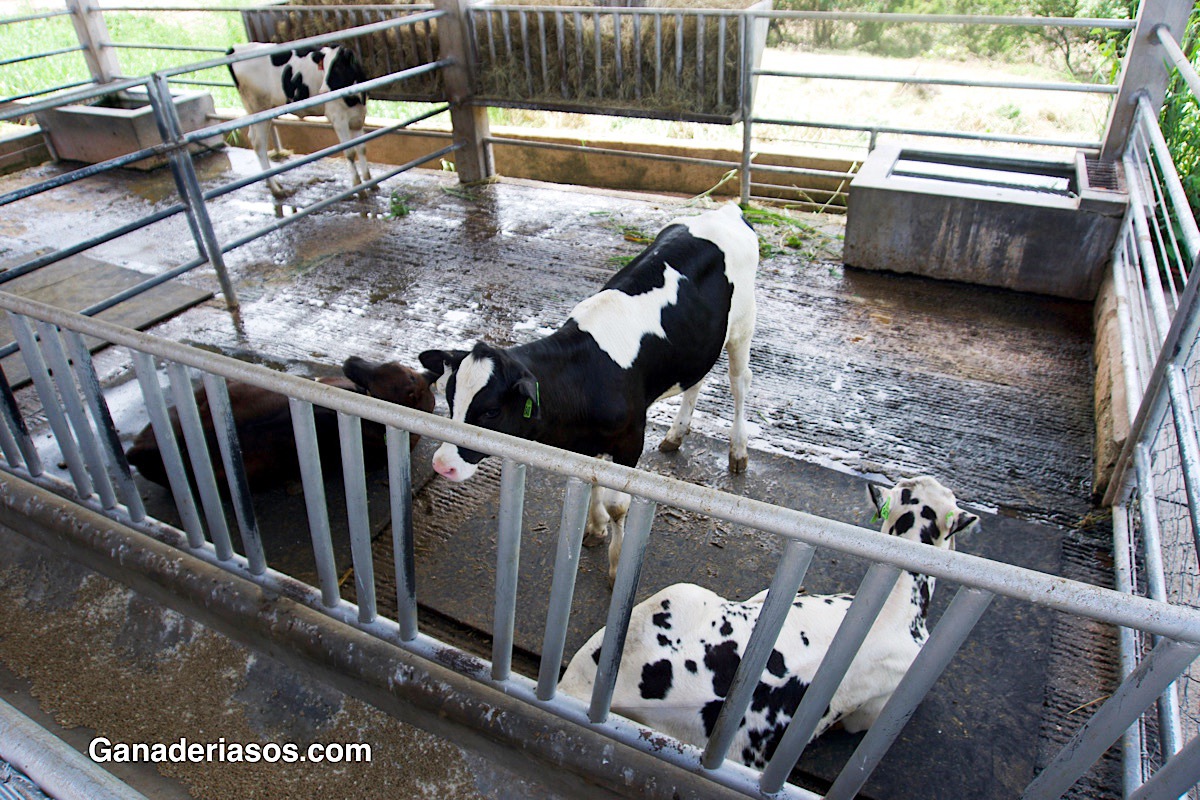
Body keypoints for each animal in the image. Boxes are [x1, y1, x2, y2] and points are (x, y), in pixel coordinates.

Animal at [226, 43, 372, 196]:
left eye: (338, 67)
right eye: (324, 67)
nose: (323, 92)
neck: (355, 99)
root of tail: (236, 48)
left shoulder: (358, 117)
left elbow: (362, 148)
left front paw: (370, 182)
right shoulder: (338, 118)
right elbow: (350, 152)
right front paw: (359, 187)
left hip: (254, 111)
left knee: (252, 137)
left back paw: (272, 183)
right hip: (259, 107)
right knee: (259, 144)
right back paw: (276, 189)